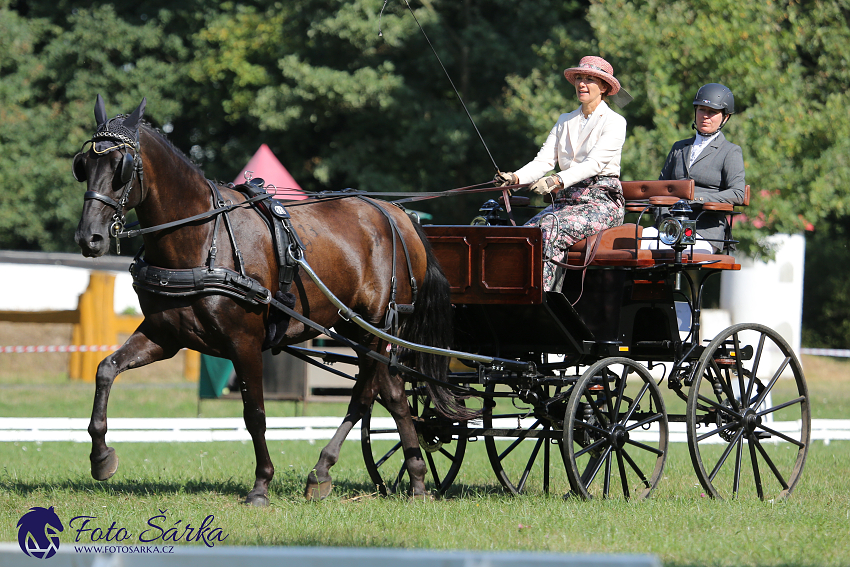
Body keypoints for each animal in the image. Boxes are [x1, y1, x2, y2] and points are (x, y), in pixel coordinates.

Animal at [73, 94, 460, 506]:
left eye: (121, 166)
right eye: (84, 165)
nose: (89, 237)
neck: (204, 238)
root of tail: (399, 215)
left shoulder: (244, 343)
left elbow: (255, 413)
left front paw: (261, 485)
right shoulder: (165, 336)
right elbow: (106, 369)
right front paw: (101, 457)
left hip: (375, 328)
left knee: (363, 396)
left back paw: (324, 470)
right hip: (363, 332)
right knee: (394, 394)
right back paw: (416, 480)